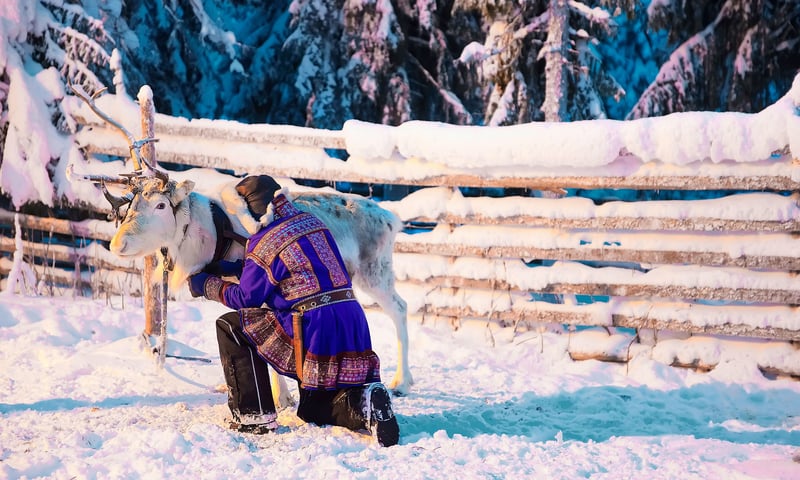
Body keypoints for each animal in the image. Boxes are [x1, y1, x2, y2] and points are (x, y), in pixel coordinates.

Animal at [68, 85, 414, 407]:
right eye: (131, 205)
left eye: (161, 205)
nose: (118, 243)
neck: (207, 233)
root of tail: (392, 219)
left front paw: (281, 398)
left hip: (375, 272)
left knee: (400, 307)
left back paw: (402, 381)